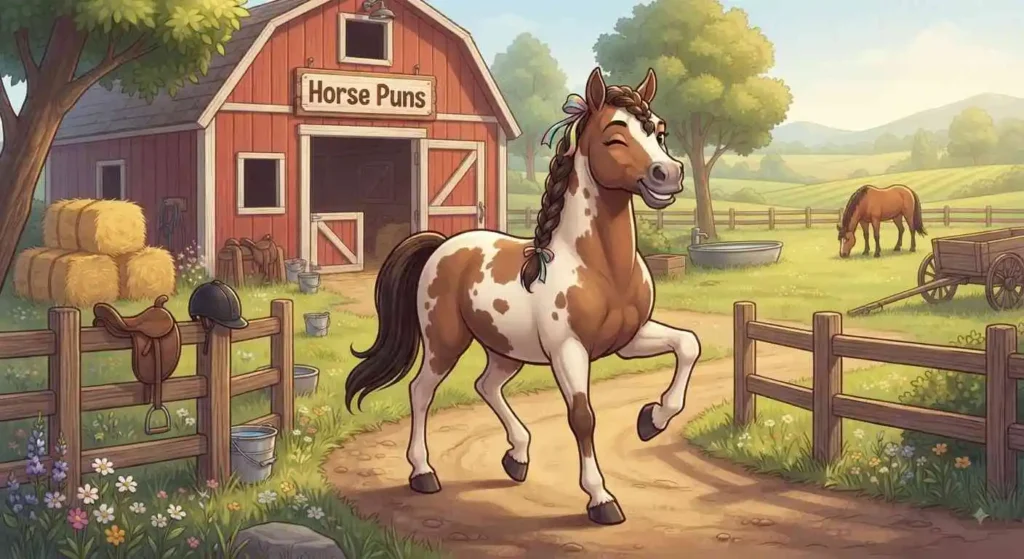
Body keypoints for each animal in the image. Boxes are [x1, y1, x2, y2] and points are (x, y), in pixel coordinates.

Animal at [343, 67, 701, 526]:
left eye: (658, 130)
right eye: (614, 136)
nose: (668, 174)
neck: (598, 266)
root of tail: (442, 245)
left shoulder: (629, 339)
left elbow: (688, 345)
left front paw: (651, 420)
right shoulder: (569, 350)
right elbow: (582, 417)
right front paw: (601, 499)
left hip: (505, 349)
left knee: (485, 385)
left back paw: (517, 457)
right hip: (444, 342)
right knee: (421, 391)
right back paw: (423, 474)